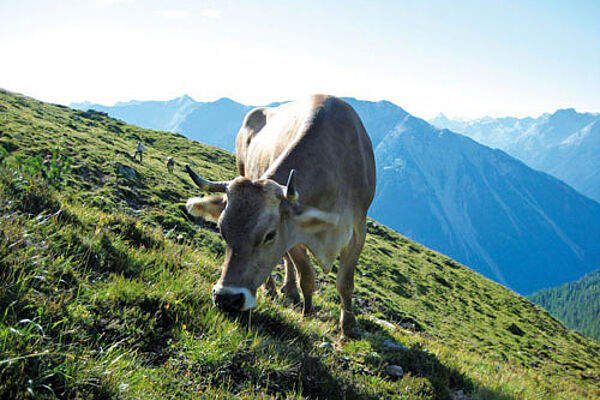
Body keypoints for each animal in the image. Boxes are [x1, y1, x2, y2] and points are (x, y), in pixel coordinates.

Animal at [188, 94, 376, 338]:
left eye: (270, 235)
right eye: (222, 230)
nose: (226, 299)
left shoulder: (357, 229)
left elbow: (345, 283)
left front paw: (350, 327)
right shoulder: (295, 232)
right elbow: (306, 276)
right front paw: (307, 313)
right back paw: (277, 290)